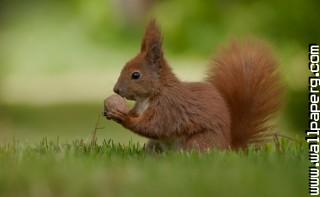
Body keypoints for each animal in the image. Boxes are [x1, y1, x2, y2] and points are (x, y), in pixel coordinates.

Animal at [104, 20, 282, 151]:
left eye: (136, 75)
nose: (116, 90)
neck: (149, 96)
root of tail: (228, 147)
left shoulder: (169, 108)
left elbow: (154, 126)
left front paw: (123, 118)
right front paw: (114, 111)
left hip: (198, 142)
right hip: (156, 146)